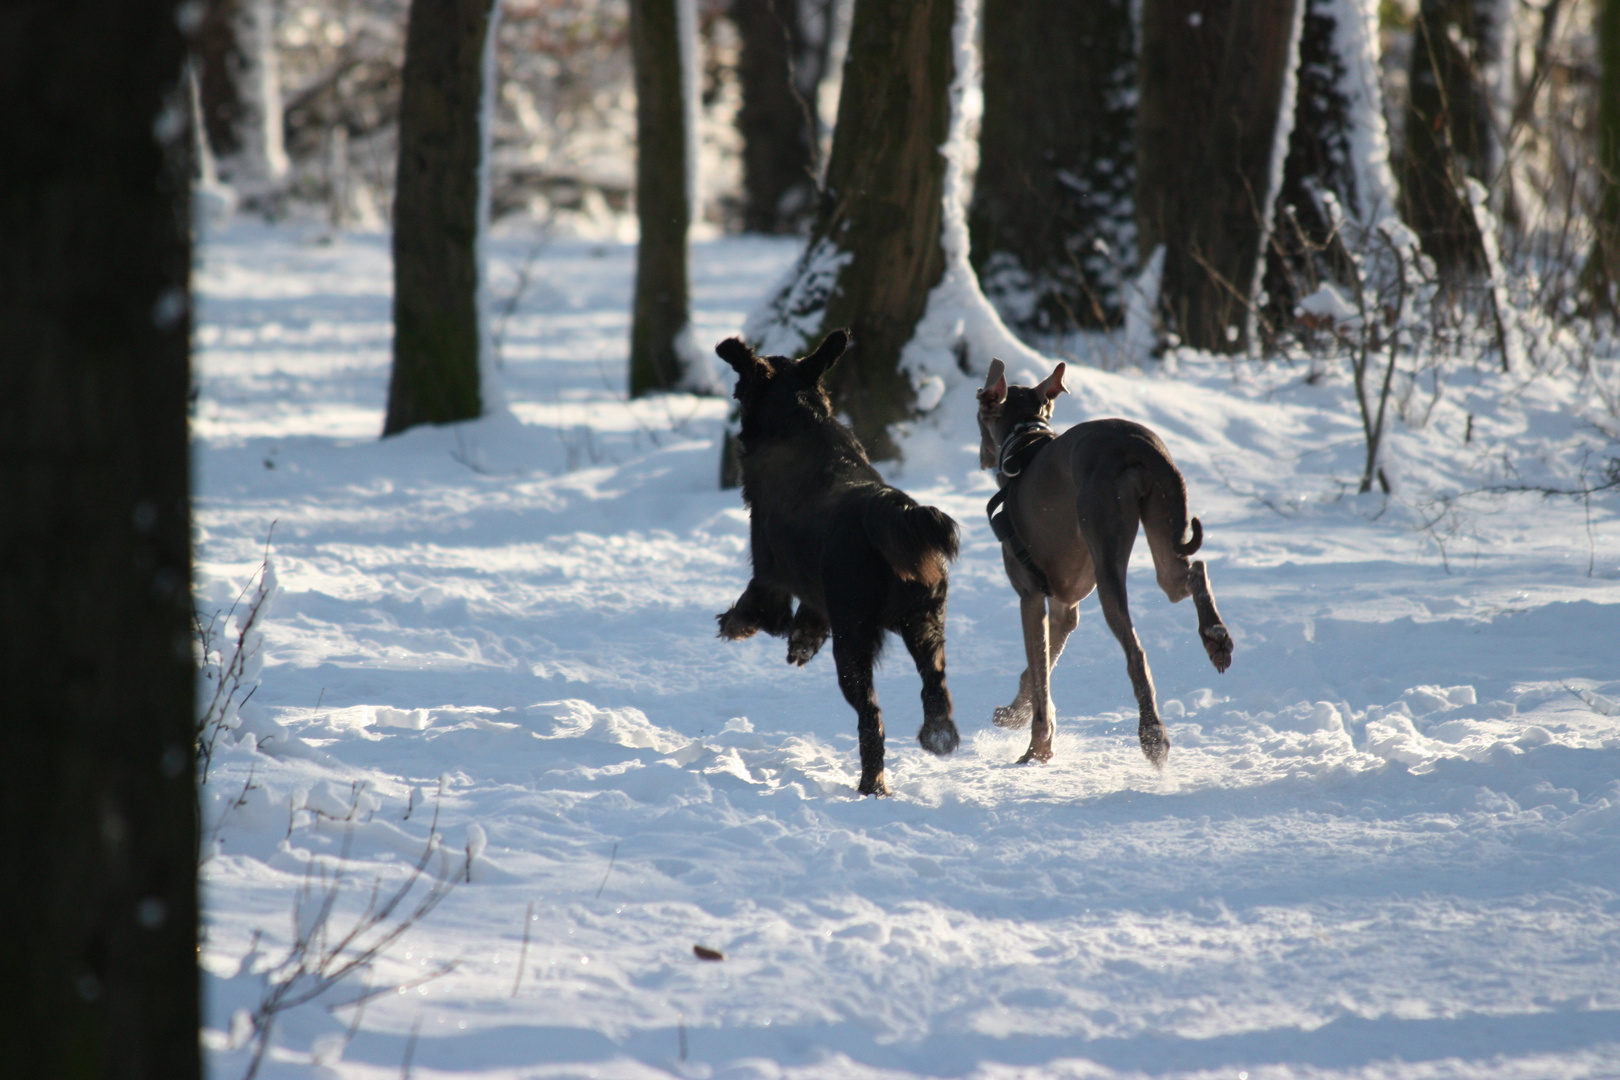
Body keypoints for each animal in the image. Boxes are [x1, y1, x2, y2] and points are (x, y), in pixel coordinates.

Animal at [712, 330, 959, 793]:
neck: (801, 423)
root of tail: (889, 508)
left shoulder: (769, 573)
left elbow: (759, 608)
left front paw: (735, 624)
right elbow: (808, 616)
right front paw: (803, 640)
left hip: (854, 638)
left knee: (871, 717)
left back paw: (871, 785)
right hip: (926, 621)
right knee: (935, 685)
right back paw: (939, 736)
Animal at [978, 362, 1231, 767]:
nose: (984, 457)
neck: (1025, 443)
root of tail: (1135, 442)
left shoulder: (1030, 597)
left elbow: (1039, 675)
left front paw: (1036, 748)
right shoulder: (1063, 609)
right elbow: (1036, 671)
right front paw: (1014, 714)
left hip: (1107, 550)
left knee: (1135, 650)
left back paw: (1152, 734)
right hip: (1164, 521)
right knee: (1190, 573)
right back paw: (1216, 637)